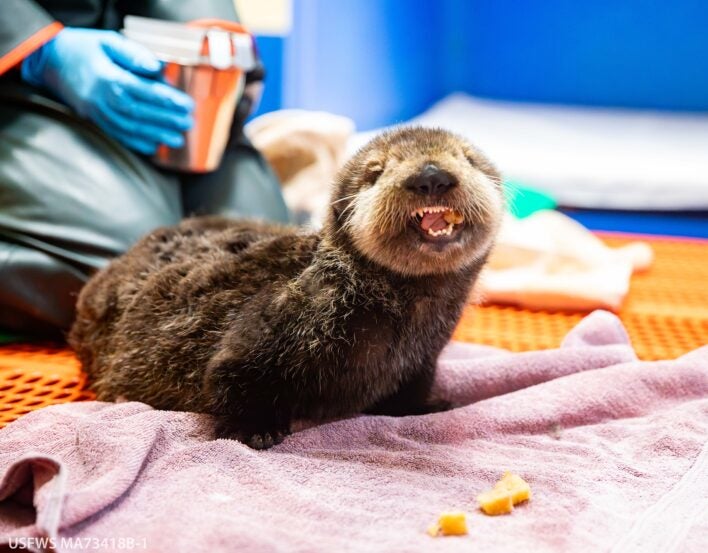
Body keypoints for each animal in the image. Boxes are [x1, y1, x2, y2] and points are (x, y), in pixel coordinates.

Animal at [69, 127, 504, 449]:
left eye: (467, 158)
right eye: (375, 172)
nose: (430, 175)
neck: (407, 307)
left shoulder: (424, 357)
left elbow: (411, 389)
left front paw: (430, 405)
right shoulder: (293, 311)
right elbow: (231, 372)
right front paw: (256, 429)